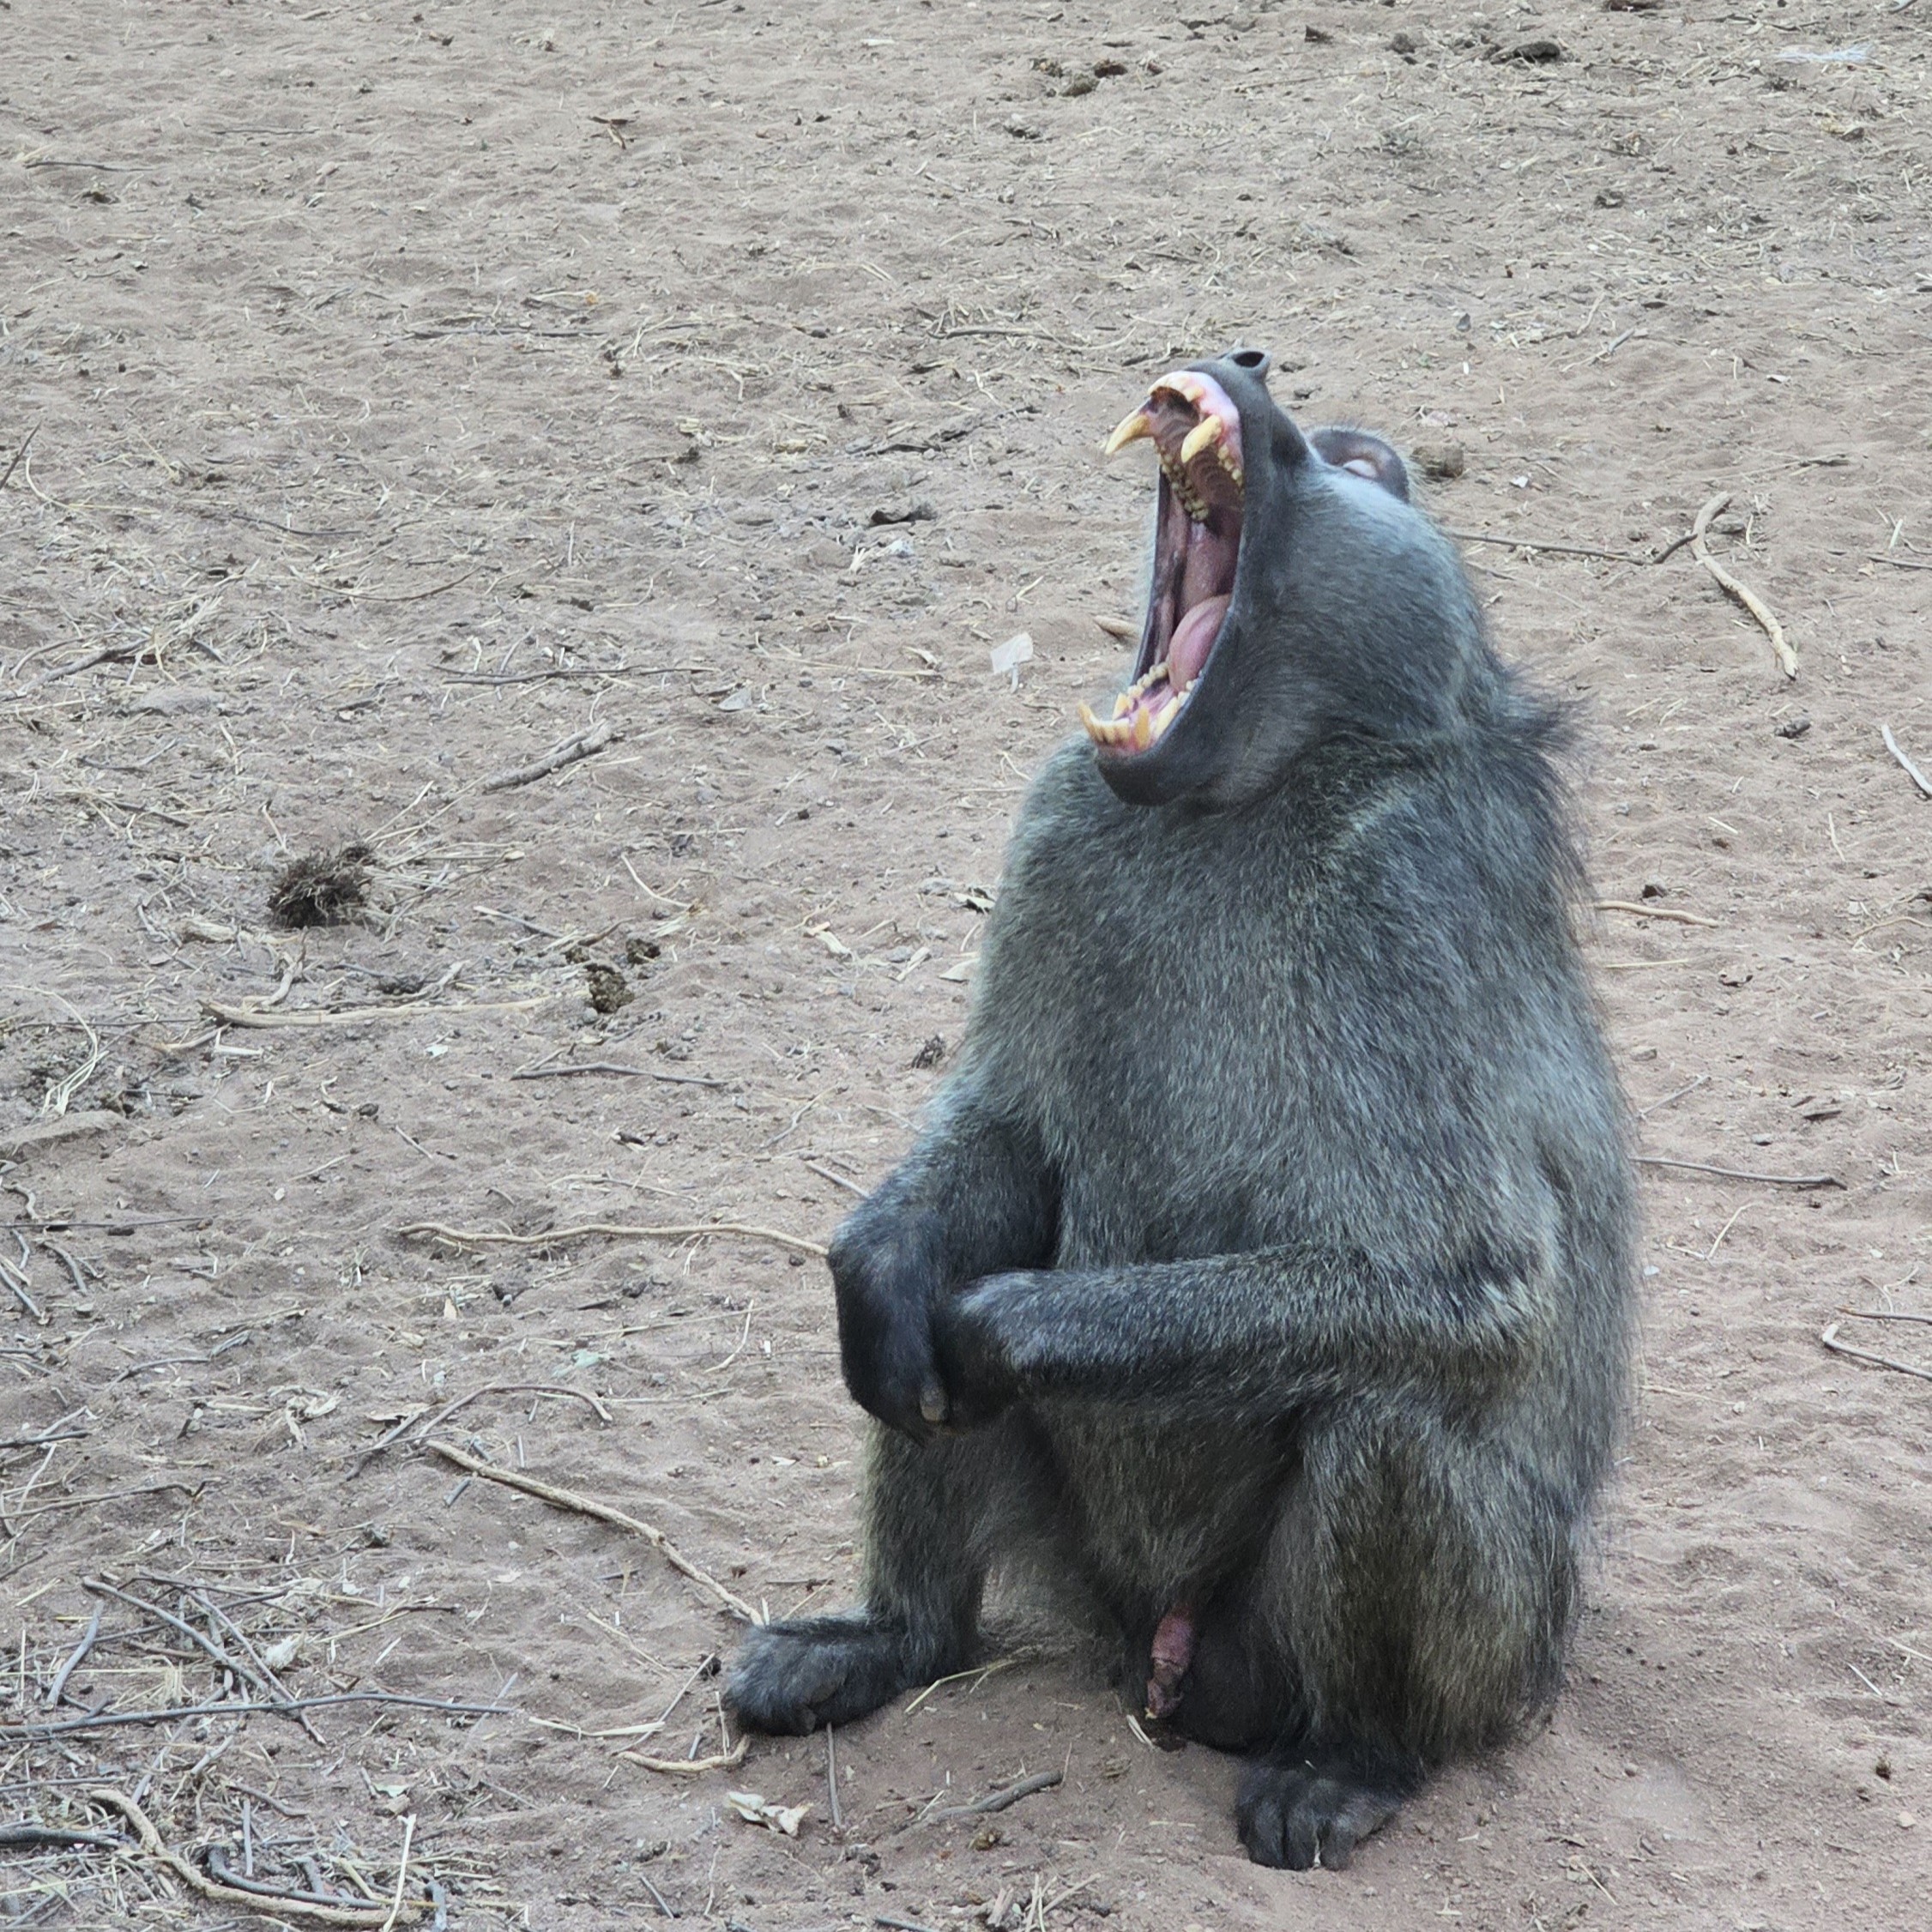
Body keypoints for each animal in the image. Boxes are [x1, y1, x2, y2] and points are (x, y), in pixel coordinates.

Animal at [728, 346, 1635, 1872]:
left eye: (1354, 465)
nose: (1247, 361)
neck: (1248, 791)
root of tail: (1165, 1658)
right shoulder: (1061, 825)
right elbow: (1000, 1149)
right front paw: (887, 1267)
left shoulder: (1410, 898)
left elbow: (1473, 1280)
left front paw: (1007, 1325)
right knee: (928, 1372)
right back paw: (885, 1639)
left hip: (1480, 1647)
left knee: (1390, 1414)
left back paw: (1354, 1765)